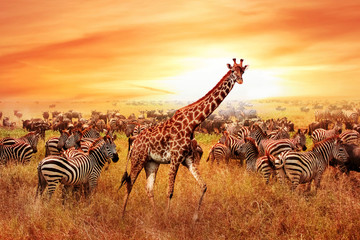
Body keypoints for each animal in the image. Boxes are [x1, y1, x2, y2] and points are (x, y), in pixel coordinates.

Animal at [118, 57, 248, 219]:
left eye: (242, 71)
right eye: (232, 71)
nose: (240, 80)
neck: (192, 122)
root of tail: (134, 141)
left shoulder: (188, 159)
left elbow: (204, 186)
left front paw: (195, 218)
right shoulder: (175, 157)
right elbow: (170, 191)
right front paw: (167, 219)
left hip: (151, 162)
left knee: (149, 188)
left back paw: (155, 216)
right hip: (138, 159)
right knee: (129, 183)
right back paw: (122, 216)